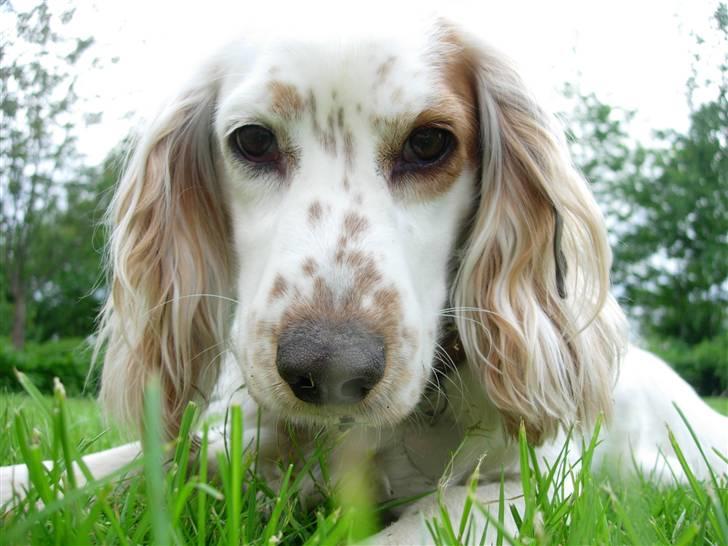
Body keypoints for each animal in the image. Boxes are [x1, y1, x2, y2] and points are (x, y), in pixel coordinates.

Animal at [1, 15, 728, 540]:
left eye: (431, 142)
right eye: (252, 140)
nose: (329, 371)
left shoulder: (520, 490)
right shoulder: (229, 448)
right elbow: (80, 470)